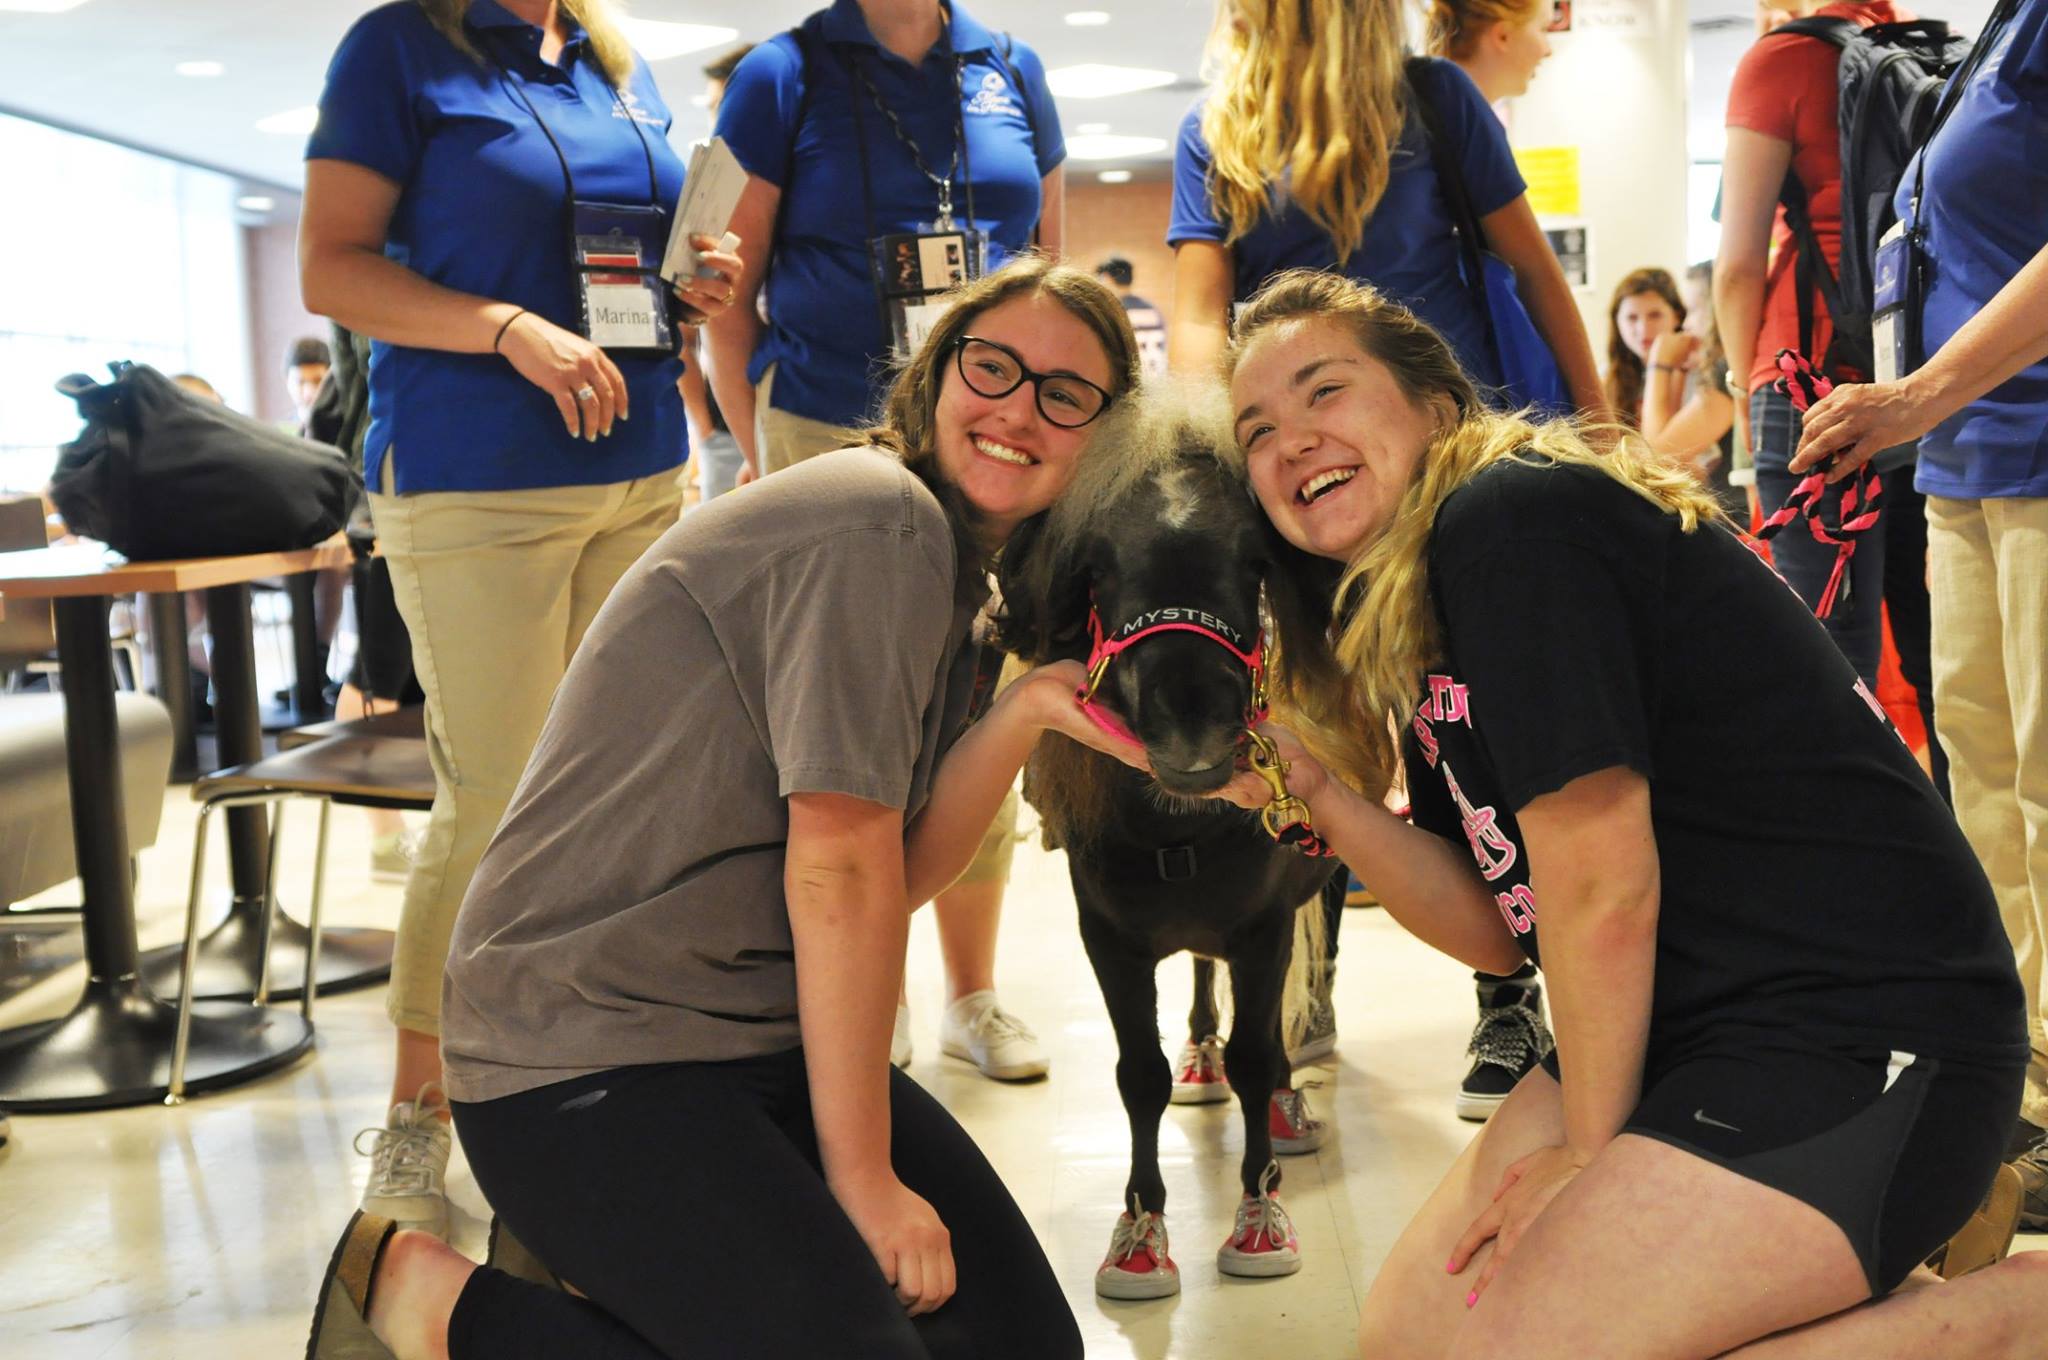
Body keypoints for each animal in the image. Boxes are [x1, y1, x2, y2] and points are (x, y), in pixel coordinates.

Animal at [995, 383, 1343, 1294]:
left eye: (1254, 559)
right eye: (1098, 565)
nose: (1193, 723)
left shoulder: (1263, 932)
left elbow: (1259, 1054)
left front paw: (1258, 1210)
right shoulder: (1109, 940)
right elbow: (1137, 1075)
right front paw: (1142, 1227)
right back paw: (1200, 1055)